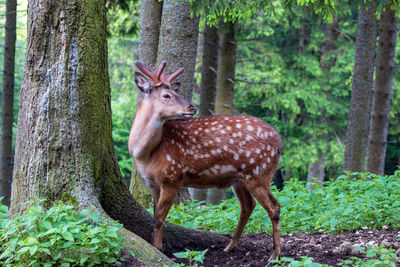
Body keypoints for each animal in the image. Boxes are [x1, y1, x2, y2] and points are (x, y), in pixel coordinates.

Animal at [130, 60, 282, 262]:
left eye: (177, 92)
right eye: (166, 95)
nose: (192, 108)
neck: (145, 154)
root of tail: (279, 142)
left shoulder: (172, 178)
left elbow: (159, 218)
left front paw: (158, 249)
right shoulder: (153, 183)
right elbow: (155, 215)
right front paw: (158, 246)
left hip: (259, 173)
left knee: (274, 207)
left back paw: (275, 254)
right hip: (239, 179)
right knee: (248, 206)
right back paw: (229, 247)